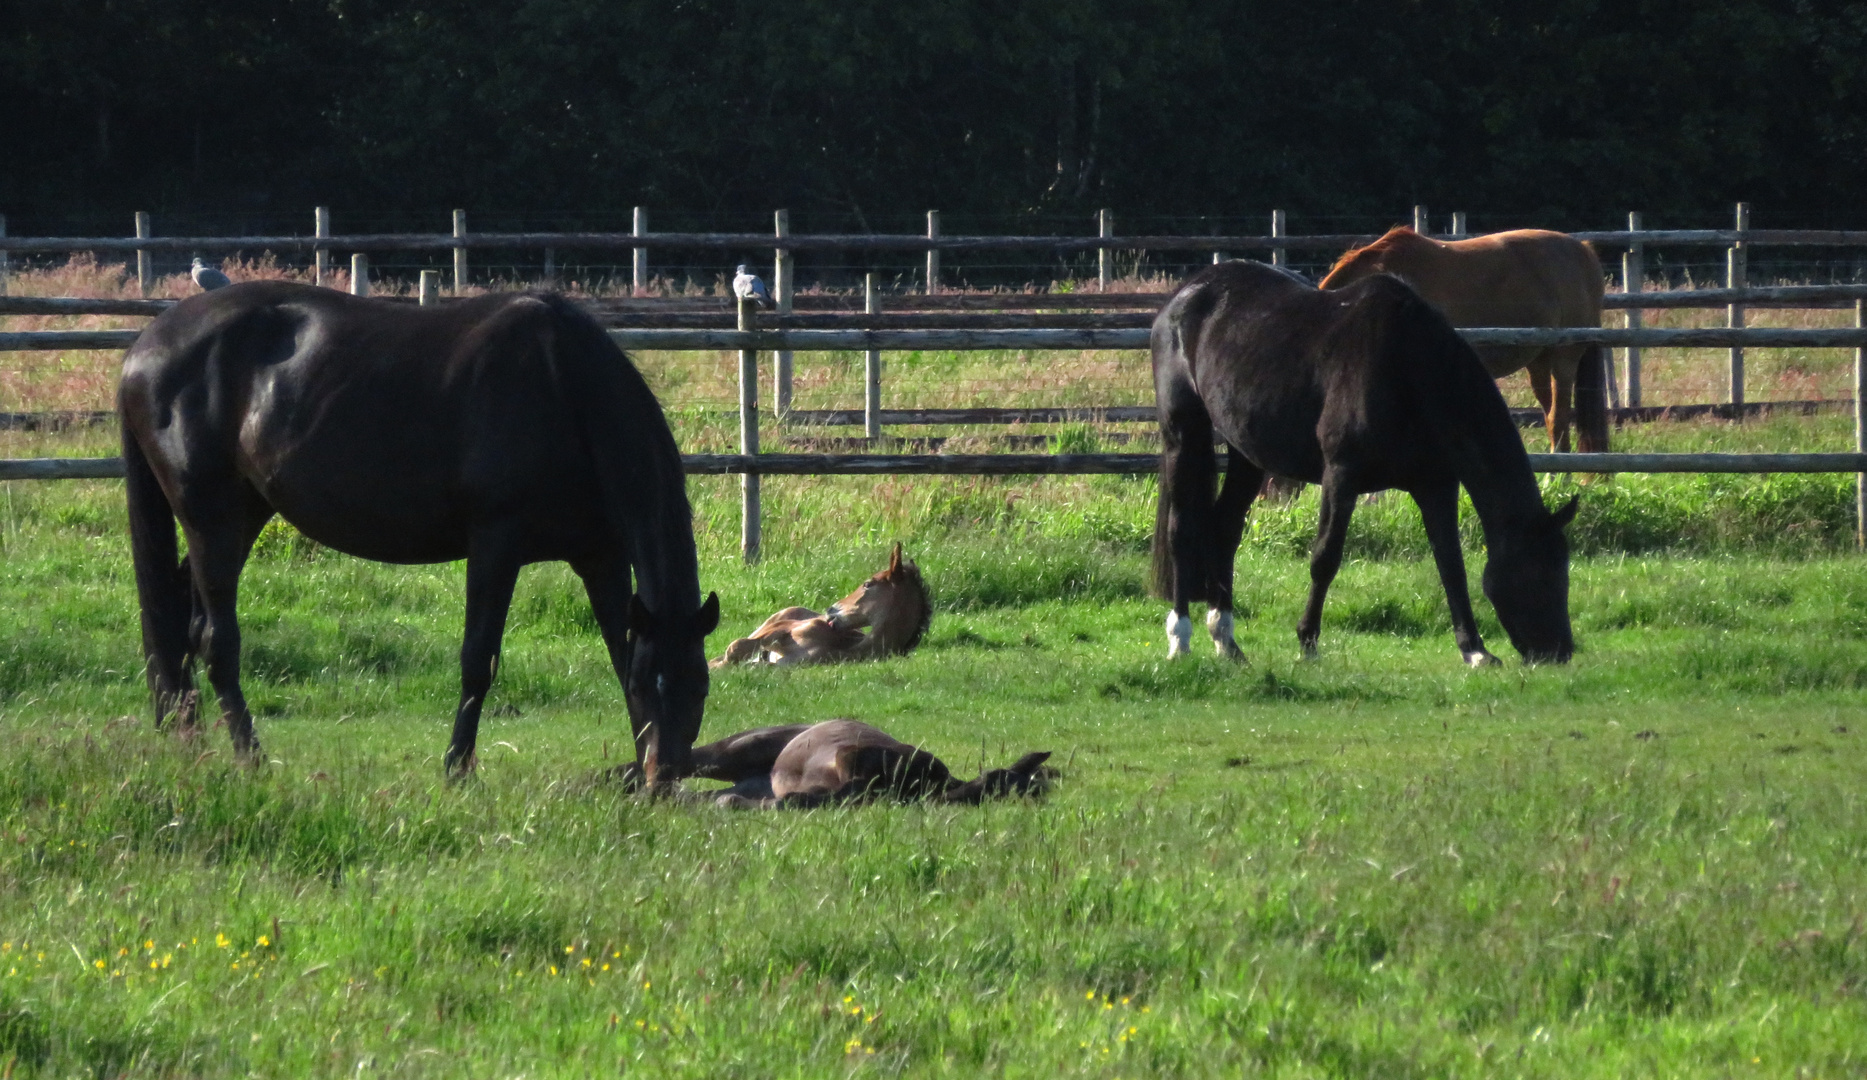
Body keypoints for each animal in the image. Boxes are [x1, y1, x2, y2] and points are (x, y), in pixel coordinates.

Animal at [118, 282, 720, 777]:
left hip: (242, 515)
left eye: (701, 686)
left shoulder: (601, 557)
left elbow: (619, 651)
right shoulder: (496, 544)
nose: (666, 774)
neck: (566, 389)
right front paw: (456, 768)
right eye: (652, 685)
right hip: (210, 517)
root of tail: (145, 346)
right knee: (216, 640)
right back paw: (251, 759)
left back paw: (189, 744)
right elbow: (479, 660)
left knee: (179, 623)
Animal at [1150, 261, 1575, 665]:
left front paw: (1474, 650)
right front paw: (1307, 643)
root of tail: (1183, 295)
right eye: (1539, 572)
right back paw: (1179, 640)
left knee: (1224, 528)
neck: (1408, 369)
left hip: (1246, 451)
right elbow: (1325, 558)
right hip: (1183, 432)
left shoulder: (1436, 485)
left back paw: (1226, 640)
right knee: (1180, 531)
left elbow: (1451, 565)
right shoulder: (1342, 476)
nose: (1560, 651)